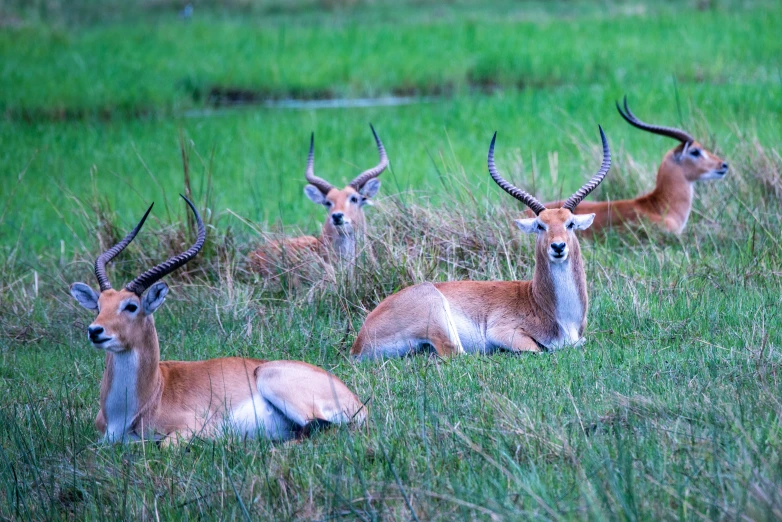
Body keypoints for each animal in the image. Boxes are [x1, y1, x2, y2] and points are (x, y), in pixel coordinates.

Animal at [69, 197, 364, 440]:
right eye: (99, 305)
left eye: (131, 306)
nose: (95, 331)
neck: (147, 397)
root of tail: (356, 400)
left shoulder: (191, 429)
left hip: (271, 380)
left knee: (321, 427)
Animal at [352, 126, 616, 358]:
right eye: (541, 225)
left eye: (569, 223)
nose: (558, 247)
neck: (543, 304)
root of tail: (359, 343)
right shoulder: (504, 332)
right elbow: (540, 350)